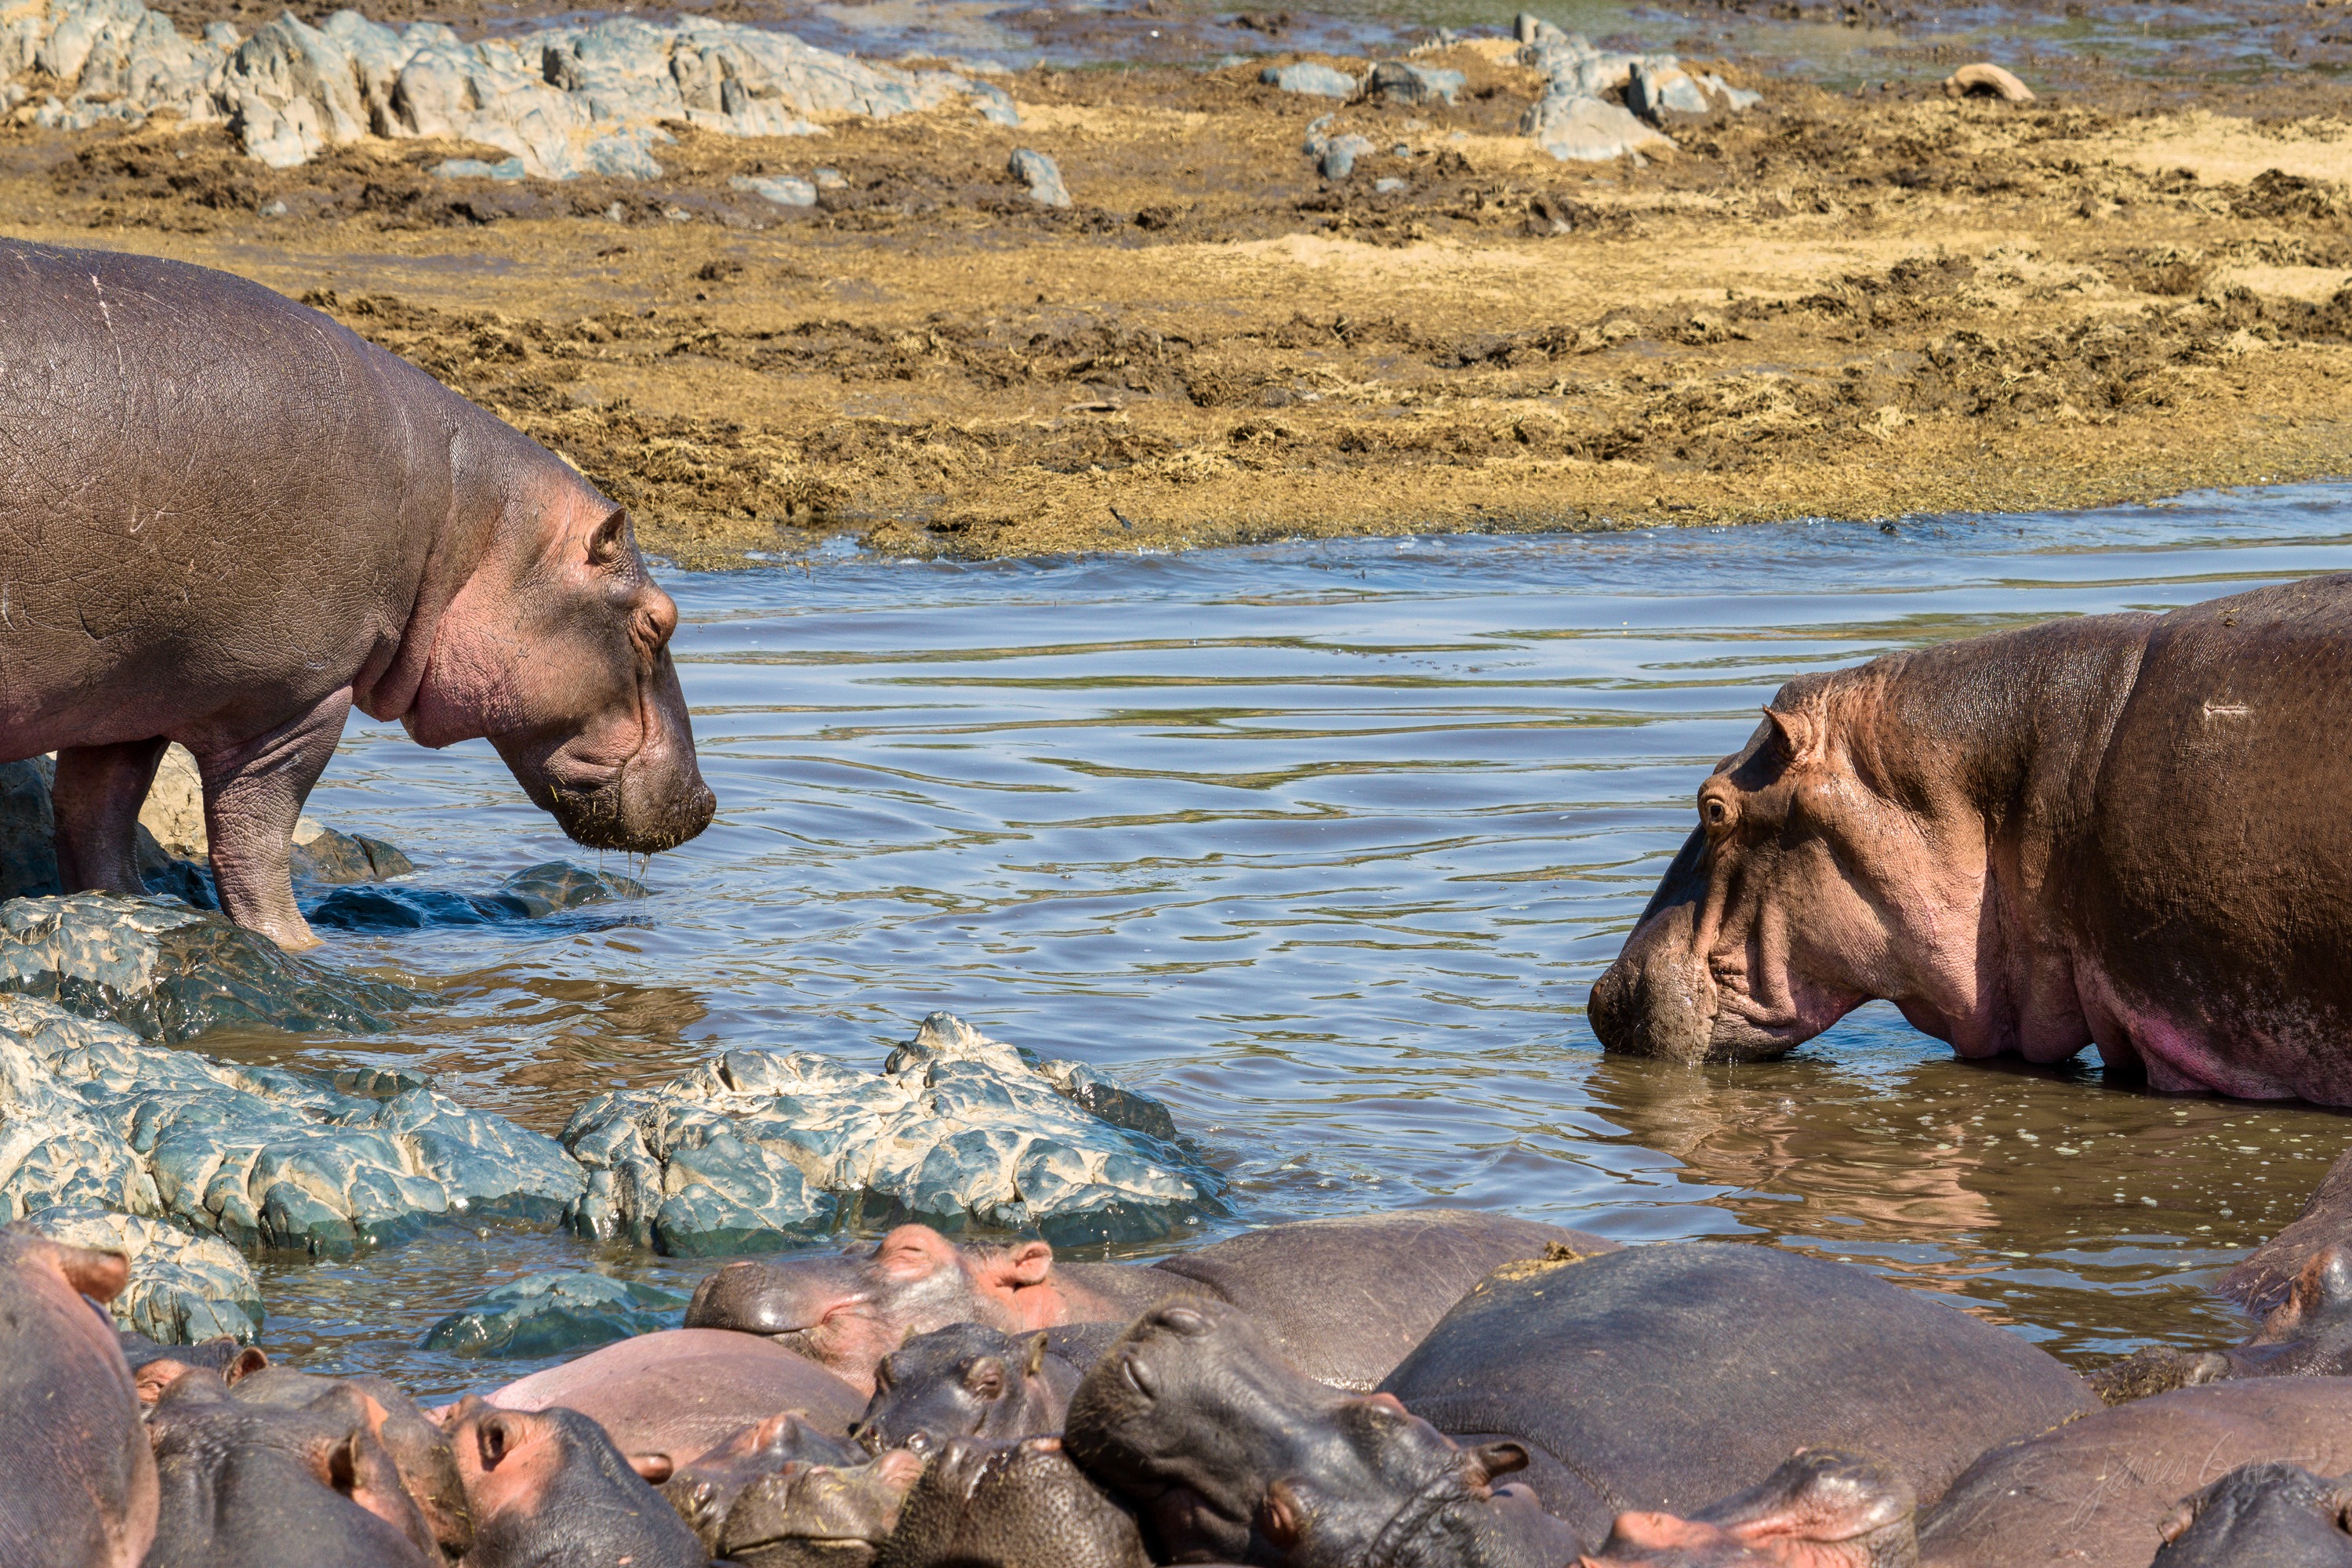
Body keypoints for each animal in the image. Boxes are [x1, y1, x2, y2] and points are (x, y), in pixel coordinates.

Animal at [0, 241, 713, 949]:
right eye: (658, 622)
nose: (707, 801)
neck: (465, 529)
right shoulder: (294, 700)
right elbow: (254, 839)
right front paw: (303, 946)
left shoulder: (126, 696)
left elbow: (95, 820)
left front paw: (130, 903)